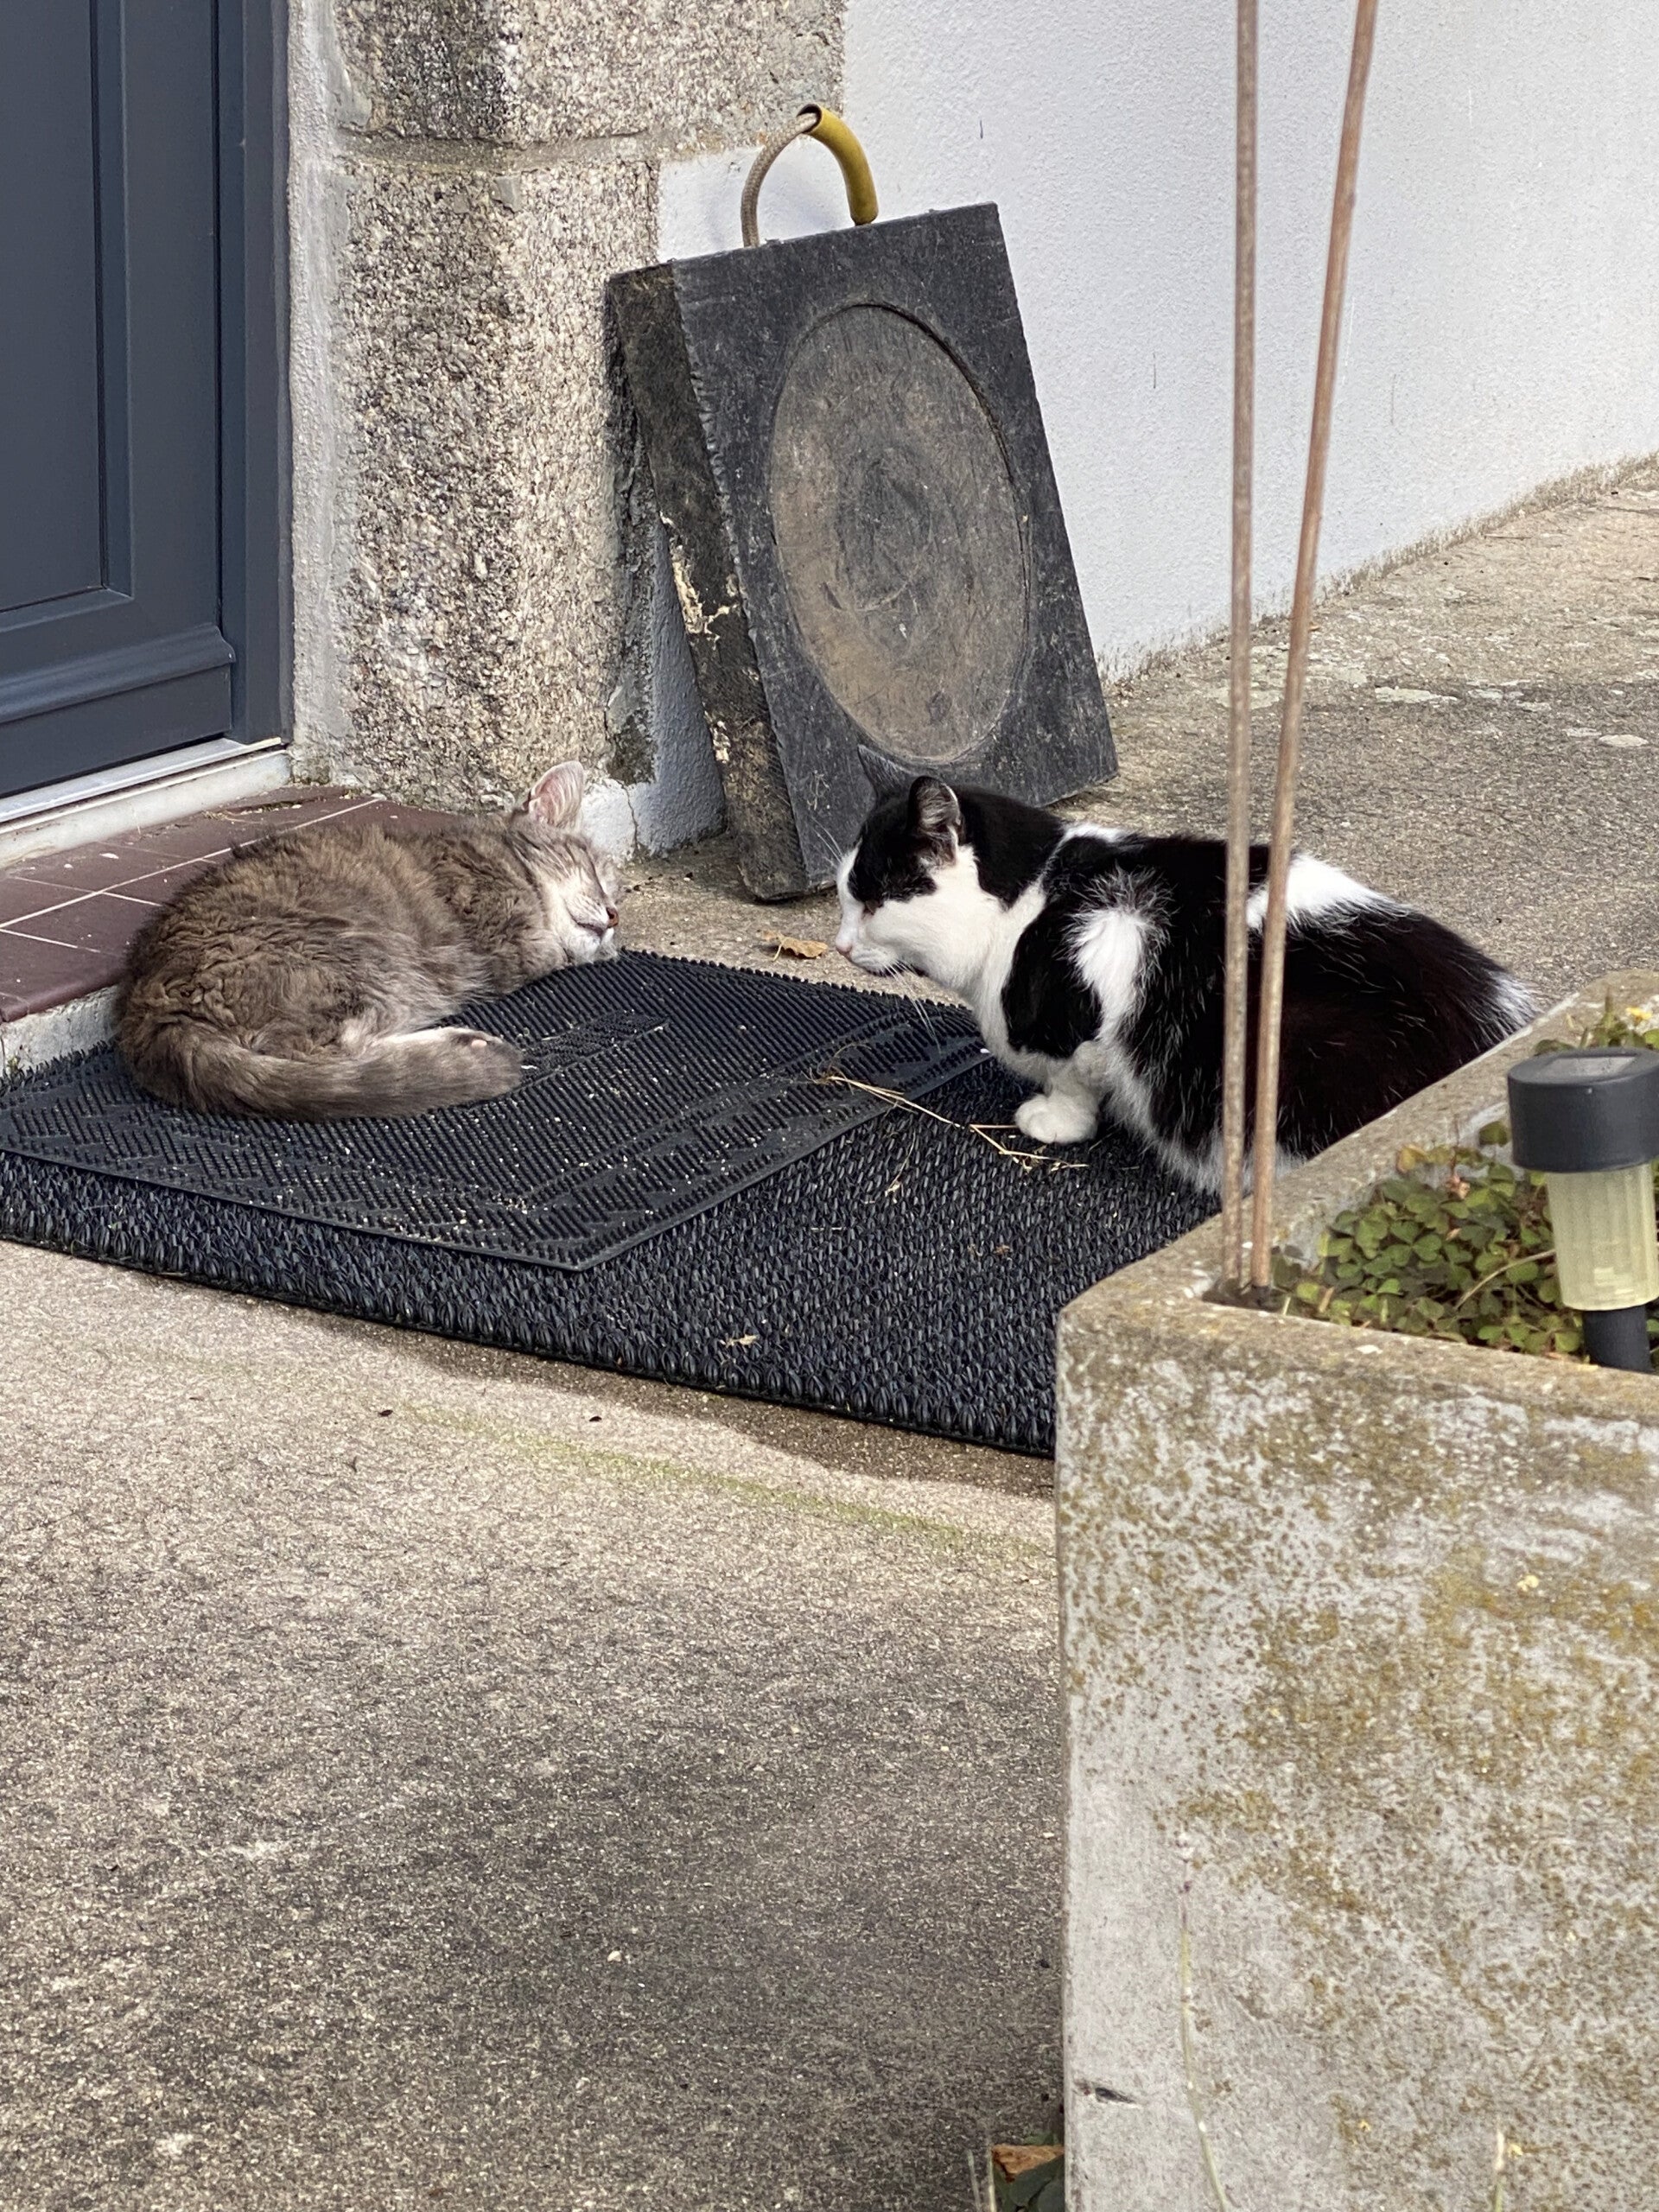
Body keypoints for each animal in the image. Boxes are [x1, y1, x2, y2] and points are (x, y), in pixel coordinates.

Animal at [117, 761, 622, 1121]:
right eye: (596, 872)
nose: (615, 916)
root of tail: (151, 1012)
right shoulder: (511, 938)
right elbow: (547, 951)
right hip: (361, 961)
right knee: (325, 1055)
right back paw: (460, 1044)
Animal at [834, 776, 1535, 1191]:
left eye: (872, 901)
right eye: (845, 897)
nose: (839, 945)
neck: (1032, 896)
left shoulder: (1093, 979)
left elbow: (1073, 1078)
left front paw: (1054, 1121)